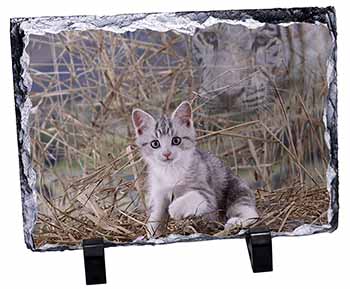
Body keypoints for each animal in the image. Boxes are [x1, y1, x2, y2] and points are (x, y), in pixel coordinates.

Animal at [133, 101, 258, 236]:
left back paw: (235, 222)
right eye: (155, 144)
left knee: (250, 212)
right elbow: (156, 212)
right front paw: (153, 230)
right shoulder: (159, 192)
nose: (167, 154)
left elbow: (194, 196)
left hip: (236, 190)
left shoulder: (207, 195)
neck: (170, 170)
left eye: (176, 140)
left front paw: (174, 209)